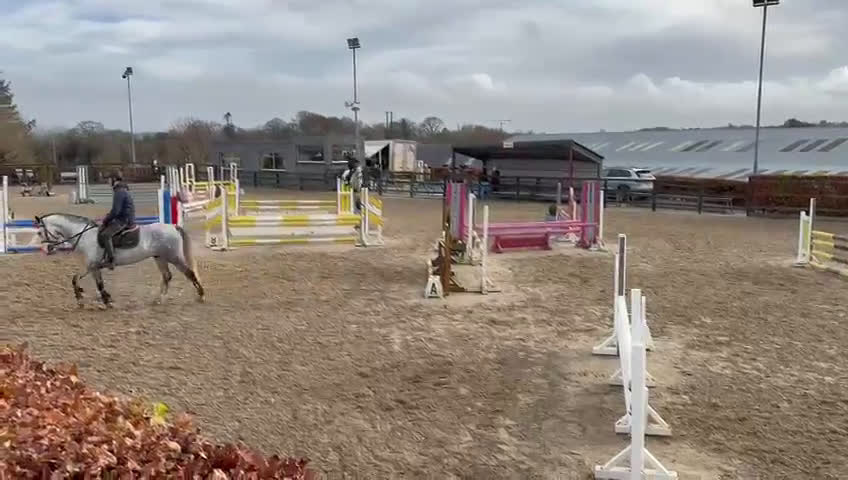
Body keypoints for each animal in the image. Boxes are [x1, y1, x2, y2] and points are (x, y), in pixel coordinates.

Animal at [34, 213, 204, 308]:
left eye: (40, 232)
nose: (46, 250)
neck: (84, 236)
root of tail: (173, 227)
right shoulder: (93, 268)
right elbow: (88, 281)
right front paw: (97, 298)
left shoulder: (91, 266)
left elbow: (85, 281)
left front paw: (91, 299)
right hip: (160, 258)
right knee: (167, 276)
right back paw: (158, 300)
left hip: (174, 257)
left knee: (189, 273)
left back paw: (201, 296)